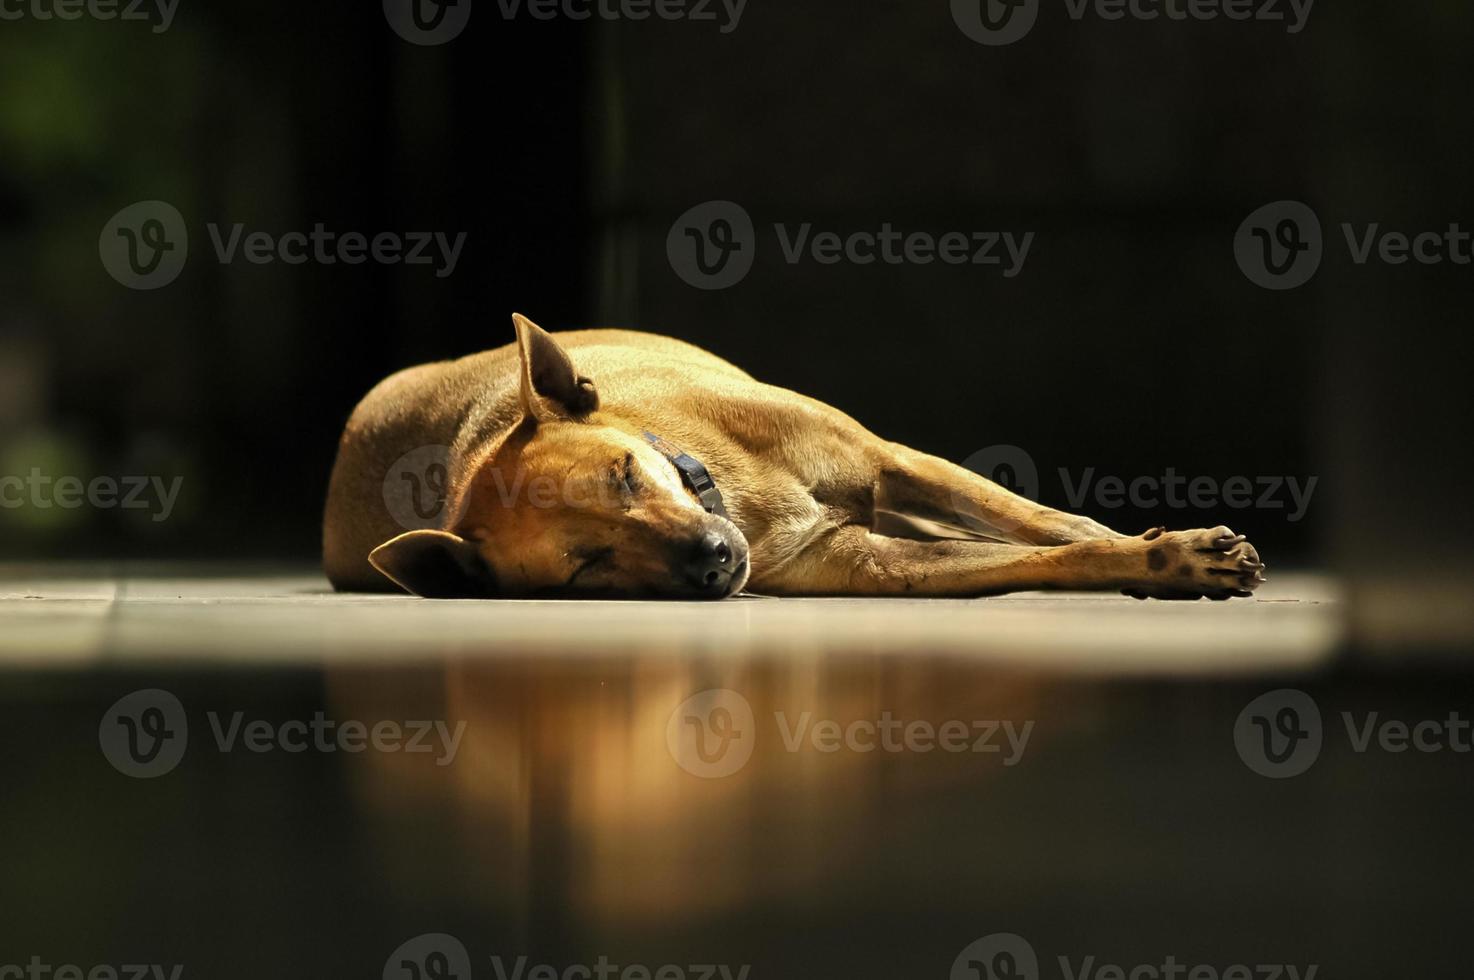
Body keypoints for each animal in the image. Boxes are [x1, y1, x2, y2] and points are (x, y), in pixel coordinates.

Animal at [322, 316, 1267, 601]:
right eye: (588, 566)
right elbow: (1038, 556)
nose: (712, 560)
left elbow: (1043, 521)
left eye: (628, 473)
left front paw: (1148, 541)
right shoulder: (874, 563)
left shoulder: (893, 460)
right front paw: (1164, 561)